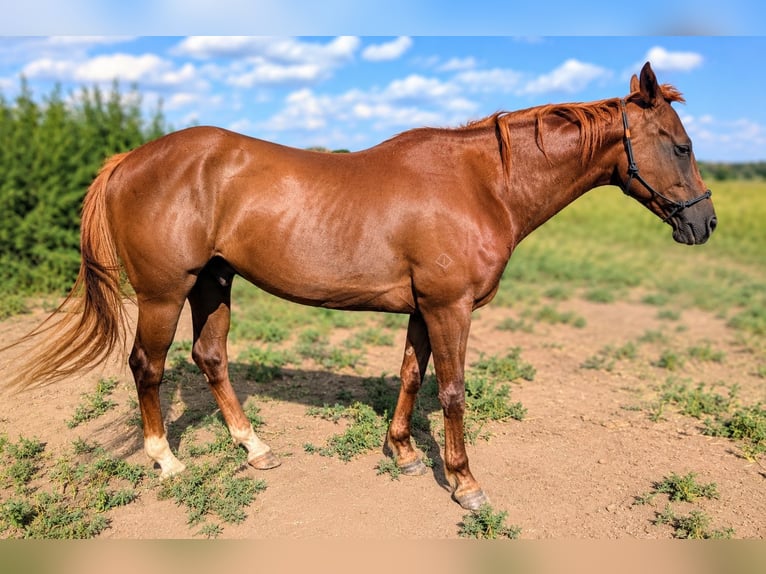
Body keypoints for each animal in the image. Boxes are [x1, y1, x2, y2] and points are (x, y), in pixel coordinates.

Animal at [5, 62, 716, 510]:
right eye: (680, 146)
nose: (704, 222)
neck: (481, 183)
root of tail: (130, 159)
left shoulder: (425, 308)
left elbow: (409, 375)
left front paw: (402, 454)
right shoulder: (450, 307)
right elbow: (453, 391)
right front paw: (465, 484)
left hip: (213, 281)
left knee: (210, 358)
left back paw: (255, 449)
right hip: (162, 293)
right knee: (146, 366)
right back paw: (167, 461)